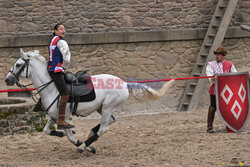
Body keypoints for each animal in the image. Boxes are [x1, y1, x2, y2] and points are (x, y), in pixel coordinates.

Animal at [5, 49, 174, 153]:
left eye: (18, 64)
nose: (7, 79)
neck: (52, 87)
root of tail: (125, 83)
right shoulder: (54, 117)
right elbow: (47, 131)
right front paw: (65, 137)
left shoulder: (65, 119)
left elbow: (70, 136)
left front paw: (81, 145)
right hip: (102, 108)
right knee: (111, 121)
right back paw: (90, 137)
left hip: (107, 108)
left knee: (104, 128)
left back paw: (85, 145)